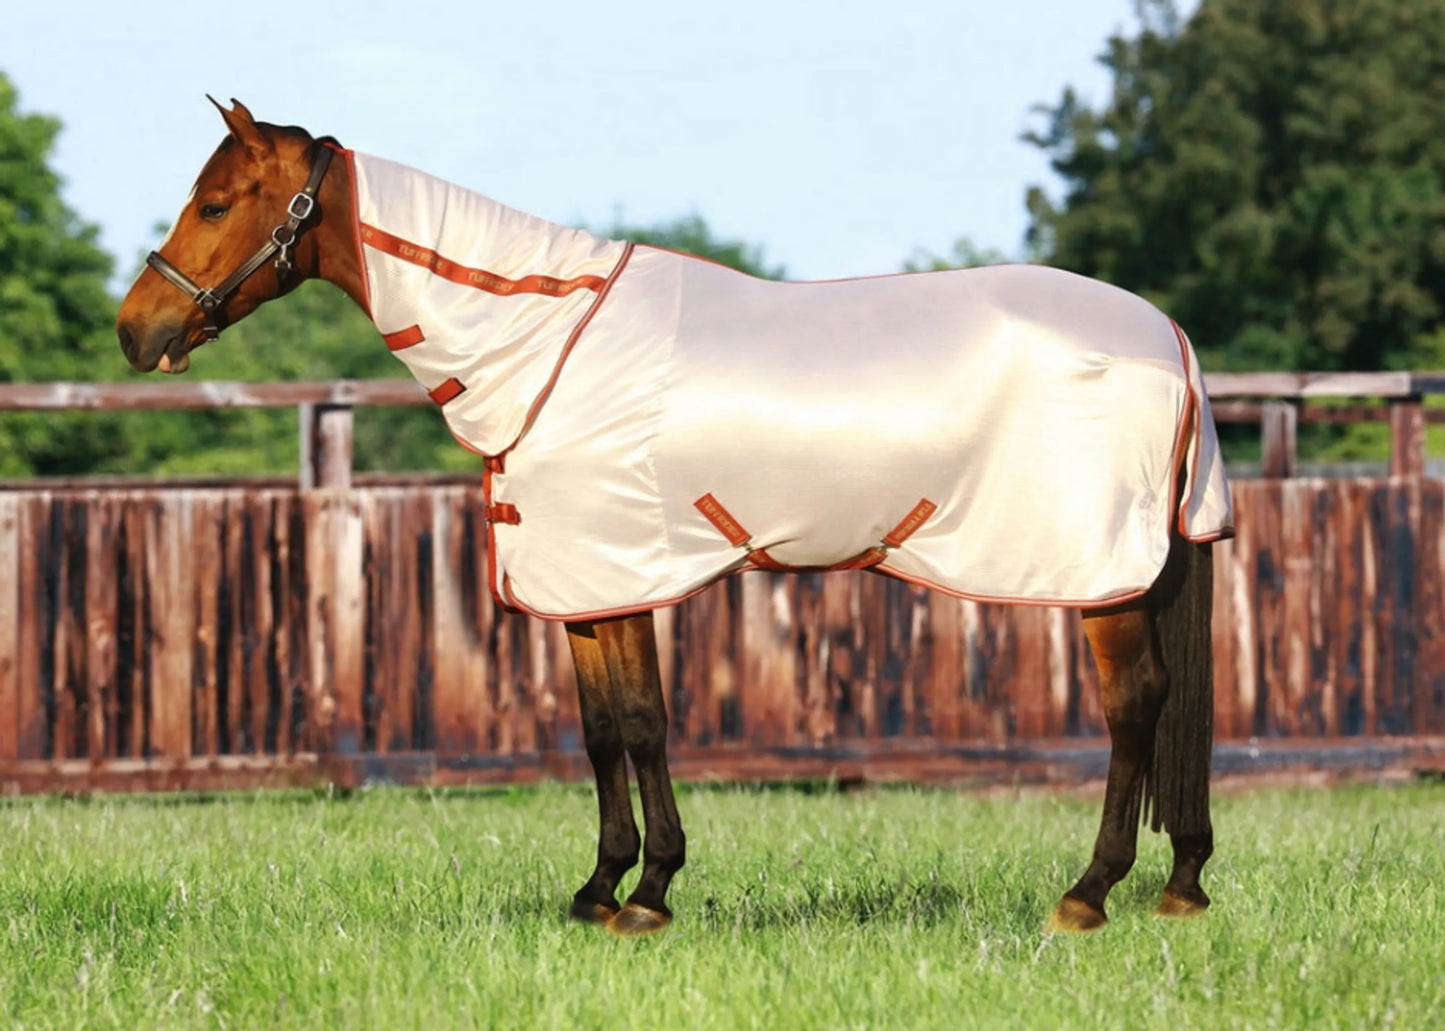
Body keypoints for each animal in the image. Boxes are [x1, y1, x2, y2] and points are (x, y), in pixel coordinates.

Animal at [117, 98, 1234, 937]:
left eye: (215, 202)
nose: (137, 330)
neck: (546, 341)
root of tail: (1168, 337)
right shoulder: (581, 586)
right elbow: (601, 730)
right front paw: (598, 888)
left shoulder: (621, 570)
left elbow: (645, 722)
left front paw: (649, 894)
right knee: (1169, 705)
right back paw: (1177, 885)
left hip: (1102, 577)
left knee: (1134, 704)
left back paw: (1087, 893)